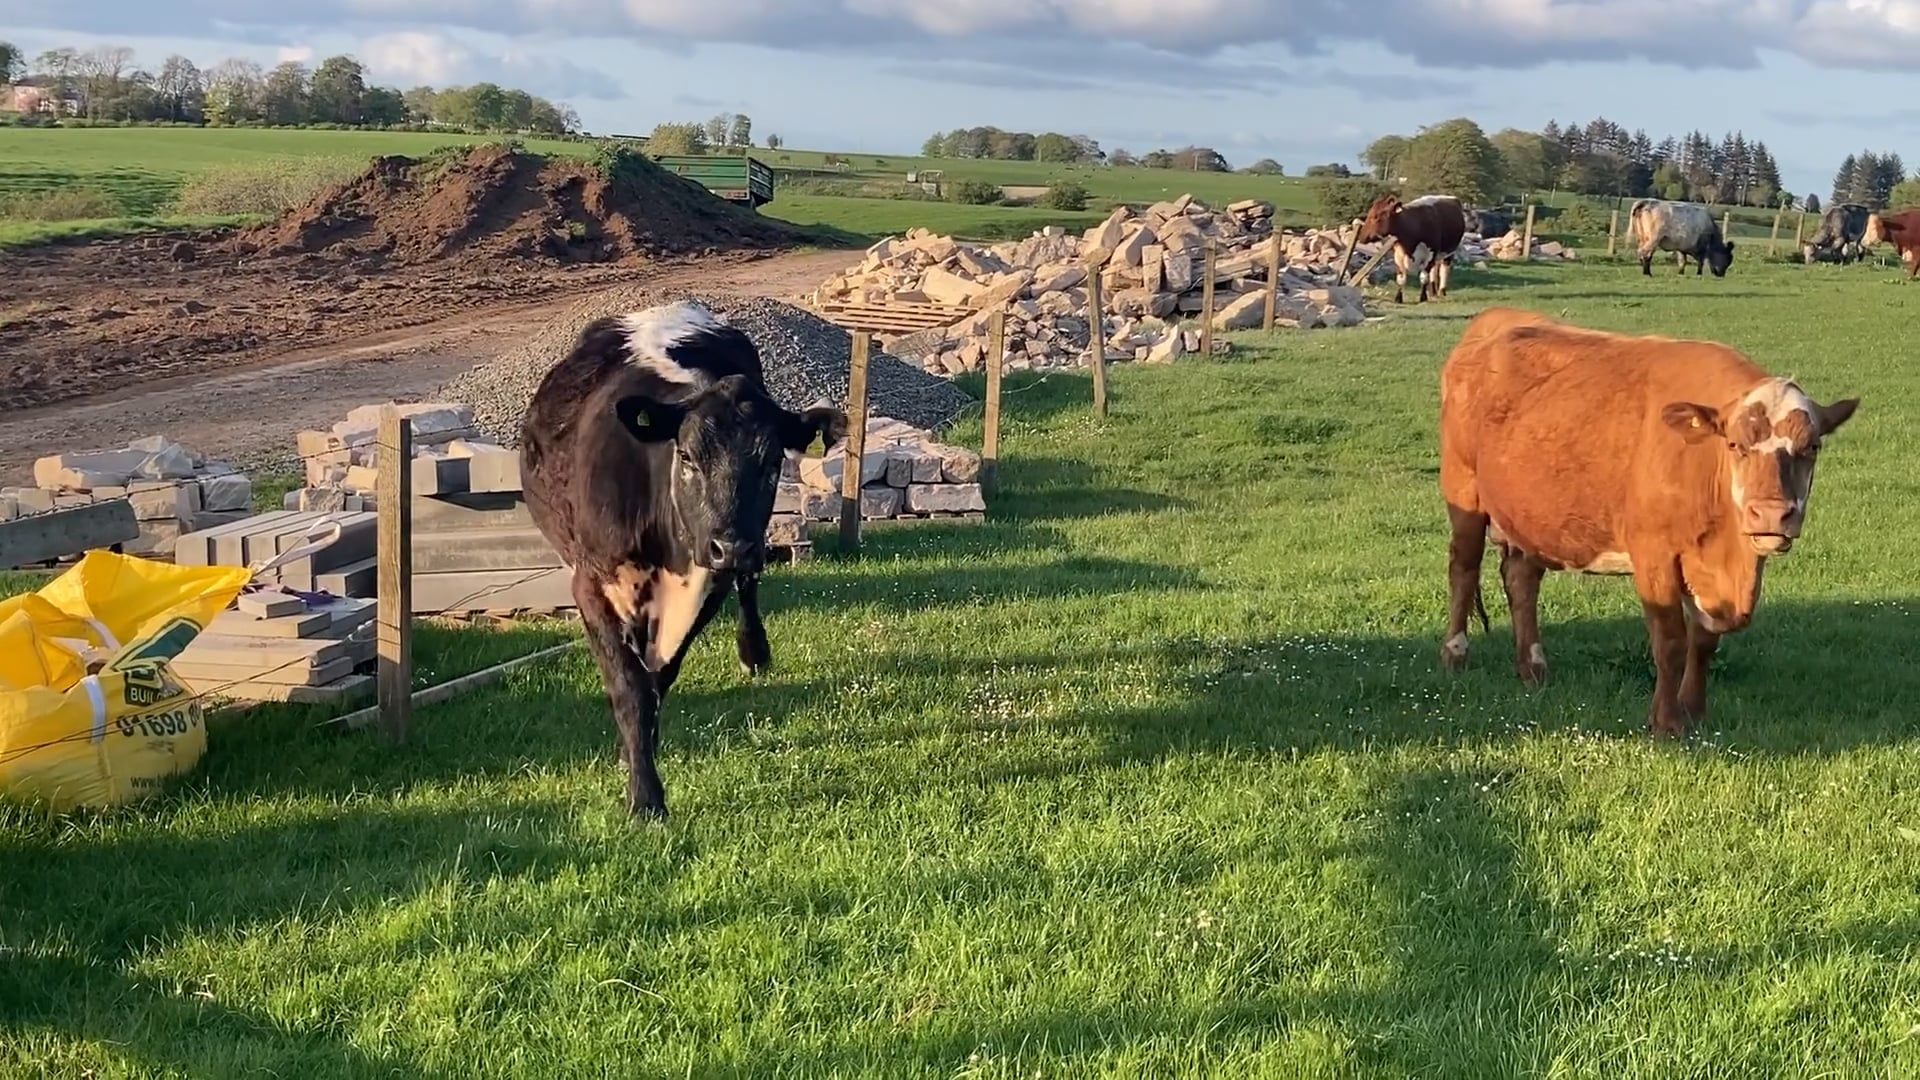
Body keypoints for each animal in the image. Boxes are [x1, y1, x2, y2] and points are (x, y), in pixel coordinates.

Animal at [519, 301, 846, 817]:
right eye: (688, 457)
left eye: (773, 462)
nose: (732, 546)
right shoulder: (589, 585)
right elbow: (629, 686)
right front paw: (644, 793)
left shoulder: (707, 582)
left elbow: (660, 676)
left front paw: (646, 758)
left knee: (747, 591)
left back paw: (753, 651)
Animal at [1438, 308, 1858, 736]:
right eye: (1734, 444)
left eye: (1812, 447)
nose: (1771, 513)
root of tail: (1496, 317)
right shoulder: (1654, 554)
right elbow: (1670, 641)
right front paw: (1666, 722)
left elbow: (1703, 640)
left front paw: (1694, 711)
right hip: (1463, 489)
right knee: (1464, 567)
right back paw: (1455, 655)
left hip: (1527, 514)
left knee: (1521, 579)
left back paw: (1533, 668)